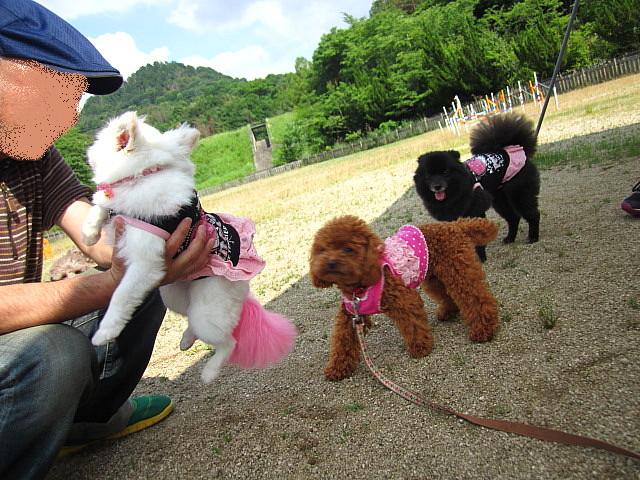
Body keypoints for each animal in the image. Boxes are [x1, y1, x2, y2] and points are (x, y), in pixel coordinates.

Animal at [82, 111, 296, 384]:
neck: (143, 175)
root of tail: (243, 287)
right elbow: (99, 207)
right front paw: (89, 234)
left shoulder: (145, 265)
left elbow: (122, 295)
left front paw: (105, 332)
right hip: (175, 294)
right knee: (191, 318)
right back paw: (186, 339)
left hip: (207, 310)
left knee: (228, 342)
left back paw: (210, 371)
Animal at [309, 215, 499, 381]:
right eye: (323, 249)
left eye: (348, 249)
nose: (331, 262)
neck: (358, 287)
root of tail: (454, 225)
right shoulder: (350, 314)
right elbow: (343, 341)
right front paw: (337, 368)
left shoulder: (403, 300)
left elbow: (413, 325)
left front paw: (421, 348)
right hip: (433, 276)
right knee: (446, 294)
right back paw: (448, 312)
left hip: (457, 269)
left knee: (476, 297)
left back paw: (483, 330)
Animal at [413, 113, 540, 261]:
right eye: (428, 175)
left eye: (445, 172)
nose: (437, 186)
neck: (454, 194)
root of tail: (514, 149)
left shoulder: (475, 212)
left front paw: (479, 257)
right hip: (499, 199)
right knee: (513, 217)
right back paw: (509, 238)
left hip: (519, 194)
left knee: (532, 214)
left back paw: (533, 237)